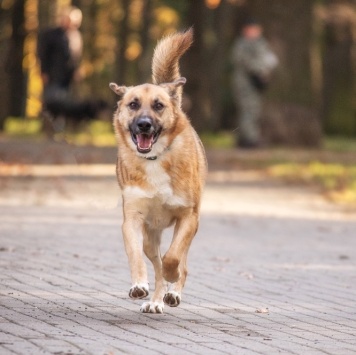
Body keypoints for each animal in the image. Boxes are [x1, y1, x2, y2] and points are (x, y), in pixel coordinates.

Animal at [110, 29, 207, 314]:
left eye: (158, 105)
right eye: (133, 104)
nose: (144, 124)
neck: (154, 158)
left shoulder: (188, 217)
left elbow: (173, 258)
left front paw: (173, 276)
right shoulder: (132, 219)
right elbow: (136, 256)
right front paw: (139, 286)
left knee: (180, 262)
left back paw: (173, 292)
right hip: (150, 237)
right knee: (155, 264)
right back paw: (155, 300)